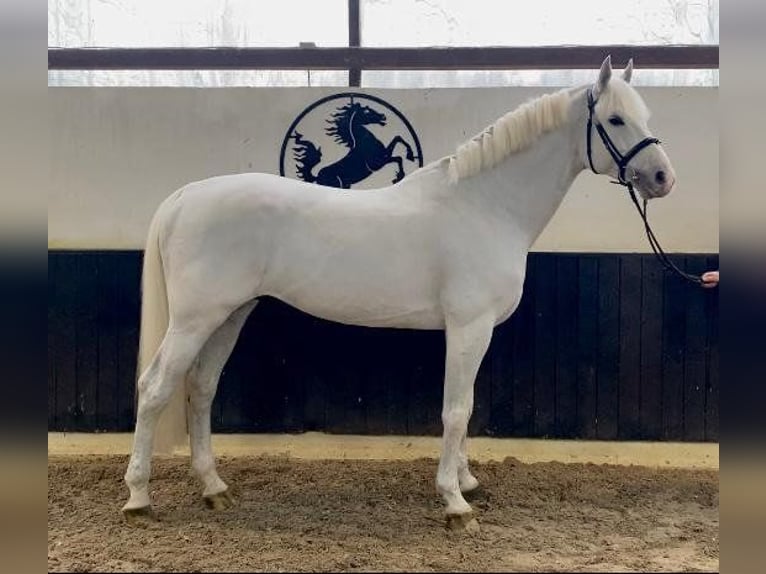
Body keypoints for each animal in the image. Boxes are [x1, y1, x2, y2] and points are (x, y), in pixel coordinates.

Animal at [121, 56, 680, 528]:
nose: (662, 178)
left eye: (644, 114)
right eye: (615, 120)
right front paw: (454, 503)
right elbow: (456, 411)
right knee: (155, 389)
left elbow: (466, 406)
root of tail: (186, 196)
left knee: (200, 389)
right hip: (195, 319)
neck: (485, 205)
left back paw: (214, 488)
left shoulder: (473, 331)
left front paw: (467, 482)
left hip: (231, 314)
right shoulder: (469, 326)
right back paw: (139, 498)